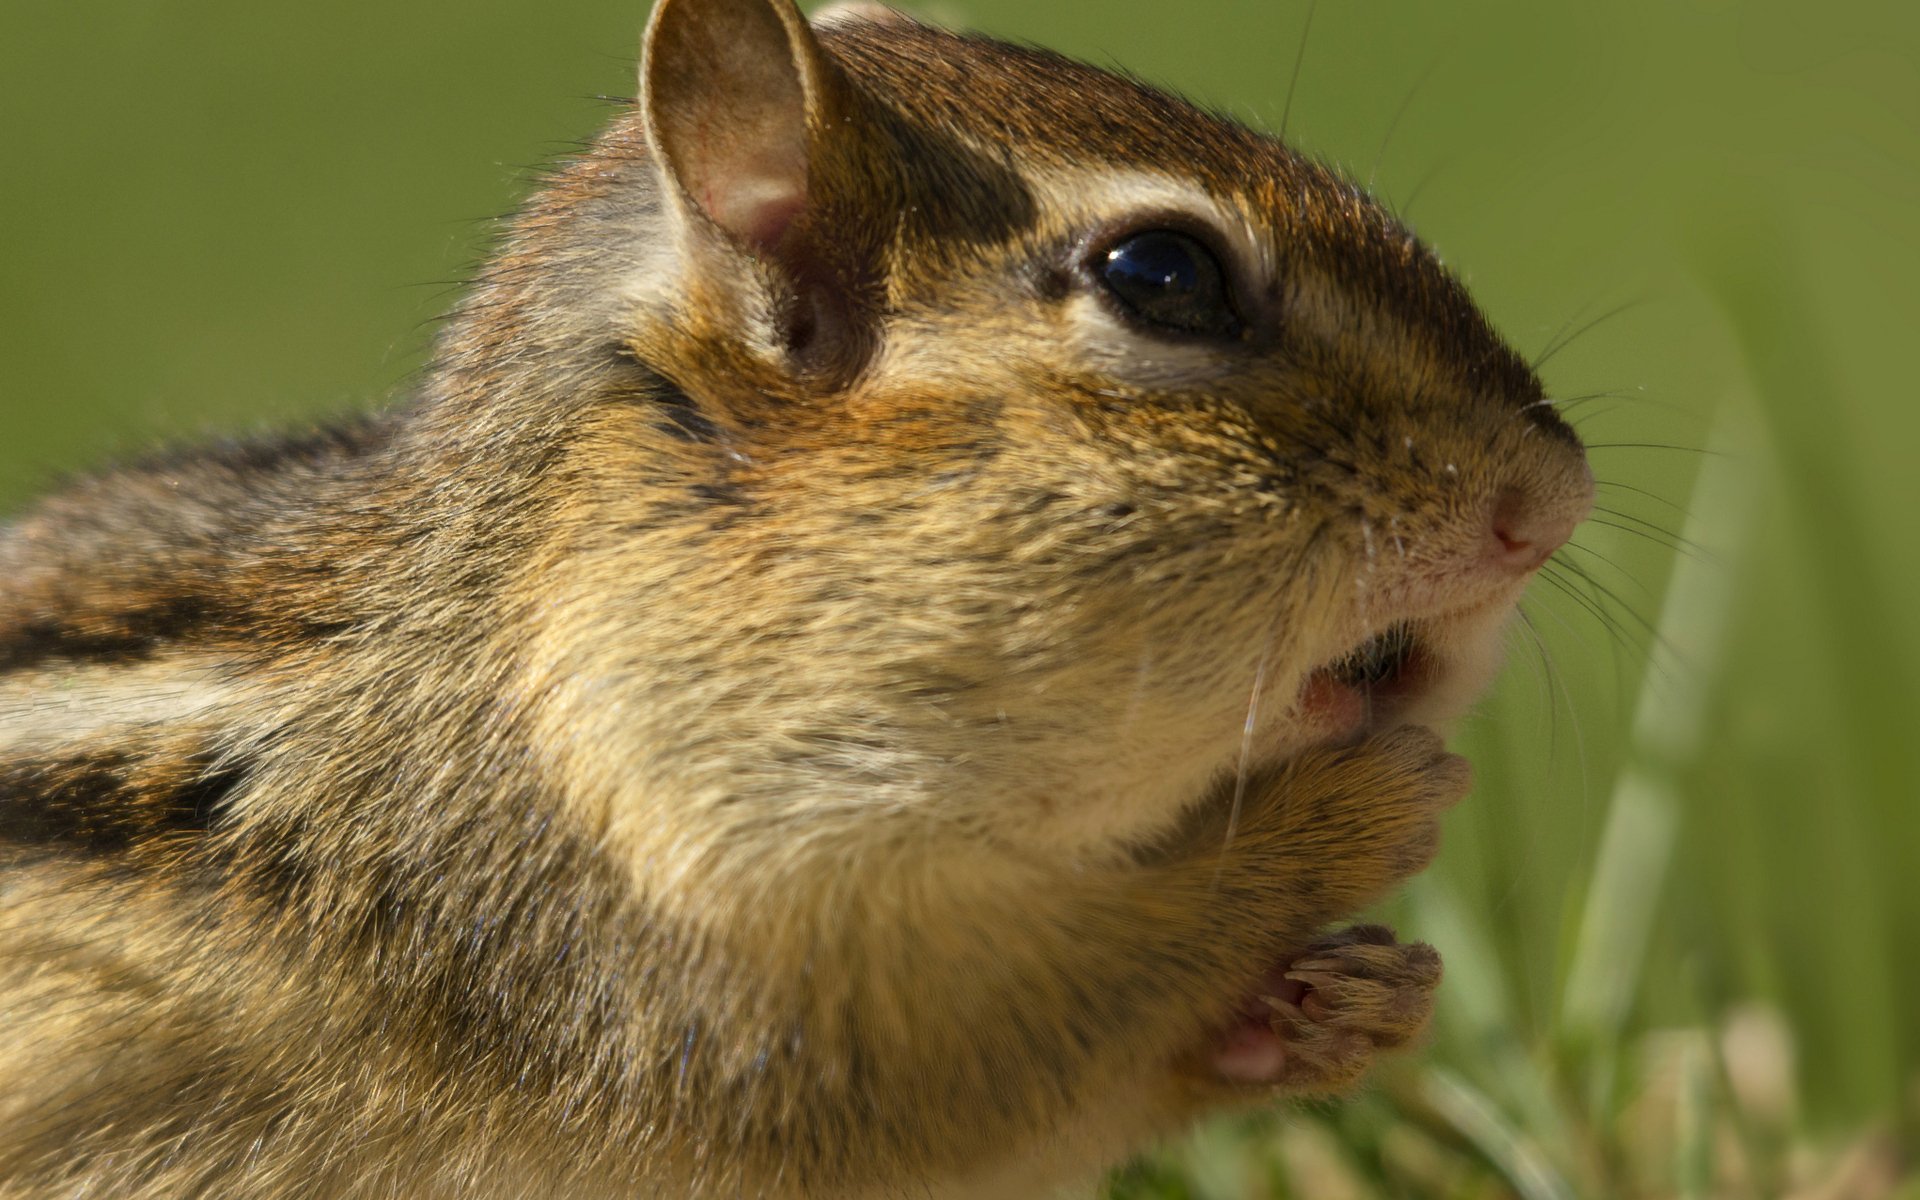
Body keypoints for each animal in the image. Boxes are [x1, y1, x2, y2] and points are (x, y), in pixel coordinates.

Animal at [0, 0, 1594, 1196]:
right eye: (1164, 275)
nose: (1554, 497)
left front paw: (1351, 1004)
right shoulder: (661, 978)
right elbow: (1008, 1052)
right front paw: (1354, 817)